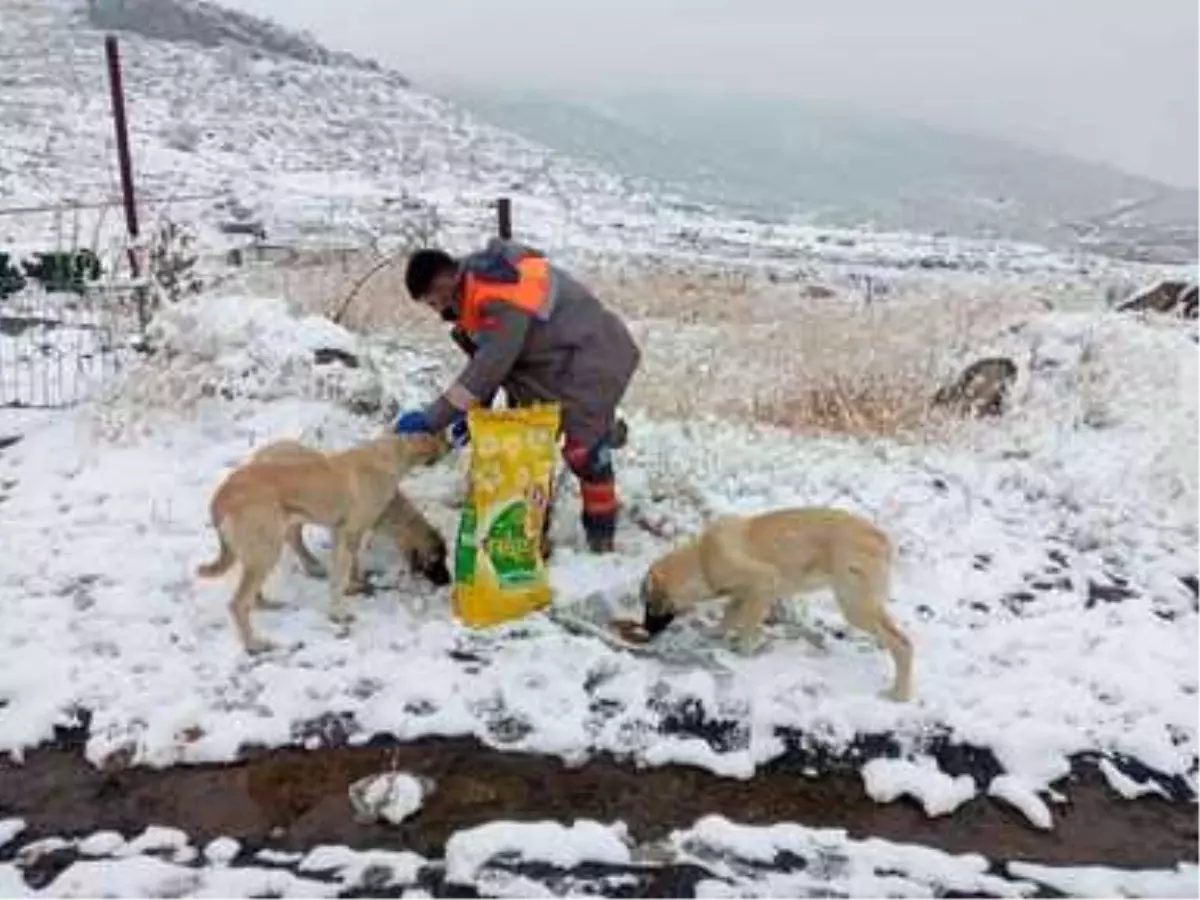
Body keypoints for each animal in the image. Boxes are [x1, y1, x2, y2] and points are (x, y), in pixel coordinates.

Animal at [247, 441, 451, 592]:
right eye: (436, 560)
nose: (447, 581)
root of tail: (260, 453)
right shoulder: (350, 527)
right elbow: (352, 556)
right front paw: (354, 581)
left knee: (293, 536)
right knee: (293, 536)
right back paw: (312, 565)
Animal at [643, 508, 912, 705]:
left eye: (648, 605)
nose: (645, 632)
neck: (701, 559)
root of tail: (880, 537)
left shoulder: (764, 583)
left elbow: (746, 628)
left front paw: (744, 655)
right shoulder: (742, 596)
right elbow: (728, 618)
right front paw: (713, 636)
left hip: (854, 606)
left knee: (903, 644)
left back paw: (899, 695)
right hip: (861, 605)